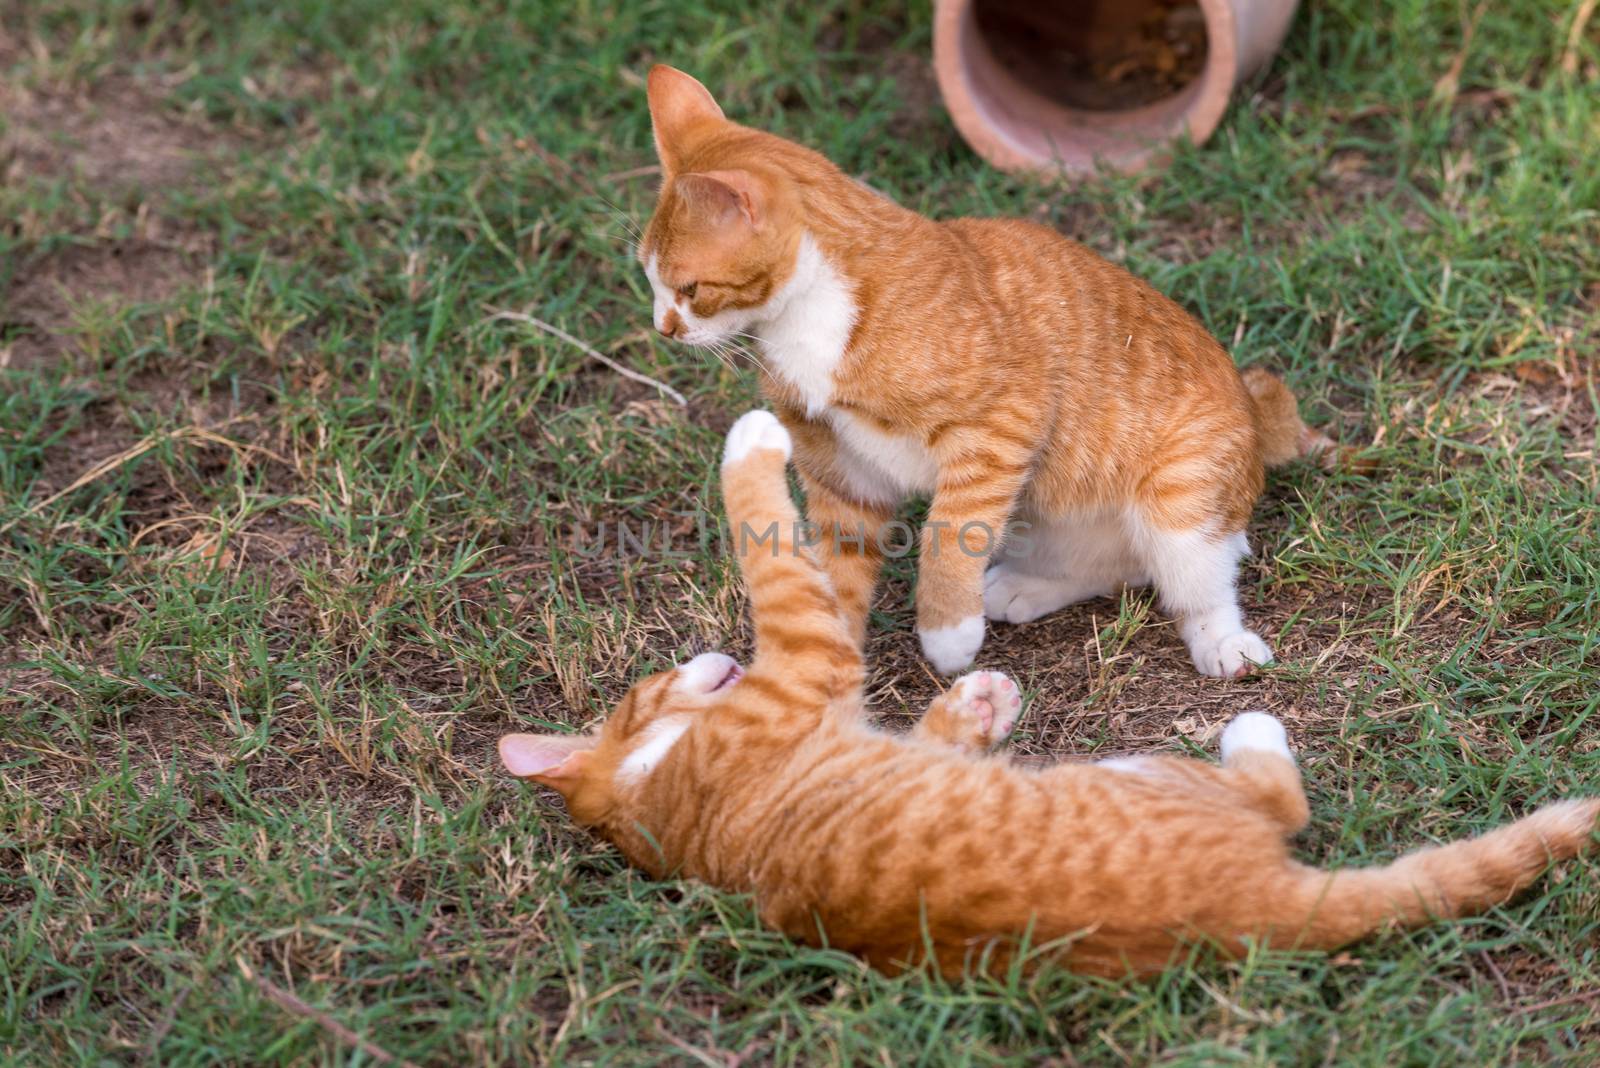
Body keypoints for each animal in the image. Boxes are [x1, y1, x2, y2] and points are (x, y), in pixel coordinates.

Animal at [496, 412, 1587, 978]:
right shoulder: (801, 656)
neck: (654, 795)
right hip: (1154, 768)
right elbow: (765, 536)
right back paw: (1249, 725)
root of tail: (1256, 914)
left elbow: (935, 725)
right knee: (1279, 796)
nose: (701, 657)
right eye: (649, 688)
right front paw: (750, 438)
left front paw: (980, 701)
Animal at [630, 66, 1356, 681]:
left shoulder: (997, 429)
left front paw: (947, 629)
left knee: (1196, 578)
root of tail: (1255, 411)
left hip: (1179, 498)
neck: (814, 313)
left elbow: (948, 535)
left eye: (690, 289)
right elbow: (835, 572)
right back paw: (1027, 586)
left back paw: (1222, 641)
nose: (664, 327)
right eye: (651, 280)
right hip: (1050, 514)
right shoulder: (841, 475)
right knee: (1118, 567)